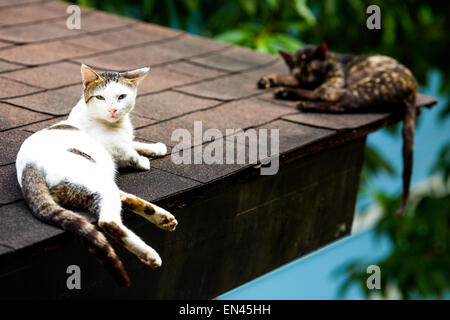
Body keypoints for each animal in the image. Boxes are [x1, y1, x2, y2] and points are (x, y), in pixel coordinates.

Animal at [14, 63, 176, 286]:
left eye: (121, 96)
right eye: (100, 97)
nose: (112, 109)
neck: (116, 125)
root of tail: (28, 167)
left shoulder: (123, 140)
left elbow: (133, 142)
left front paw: (156, 148)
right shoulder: (111, 146)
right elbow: (127, 150)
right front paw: (142, 161)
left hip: (91, 185)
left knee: (119, 199)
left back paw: (161, 218)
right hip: (93, 176)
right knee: (107, 221)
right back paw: (149, 253)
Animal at [258, 41, 420, 214]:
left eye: (314, 70)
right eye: (301, 73)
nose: (309, 81)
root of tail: (413, 90)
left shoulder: (336, 78)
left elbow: (320, 90)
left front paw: (281, 85)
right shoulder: (303, 80)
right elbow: (292, 79)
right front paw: (270, 79)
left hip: (365, 87)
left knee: (332, 97)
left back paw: (299, 100)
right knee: (338, 102)